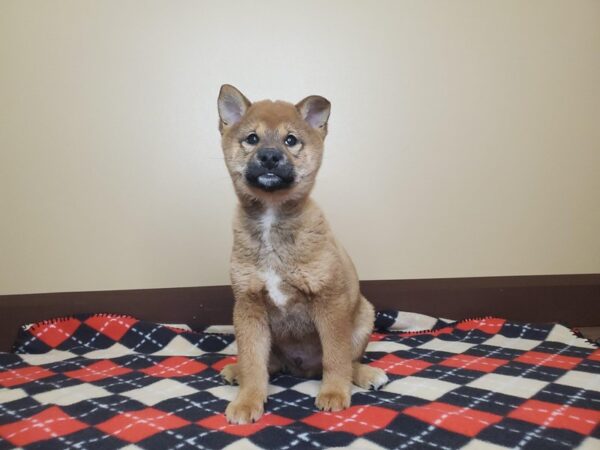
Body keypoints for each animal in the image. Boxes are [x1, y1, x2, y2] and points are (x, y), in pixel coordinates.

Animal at [218, 83, 386, 422]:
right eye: (252, 138)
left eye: (290, 140)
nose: (270, 156)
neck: (272, 220)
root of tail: (301, 369)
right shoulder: (248, 305)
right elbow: (254, 363)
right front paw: (248, 400)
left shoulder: (328, 300)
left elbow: (336, 359)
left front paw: (334, 394)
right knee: (267, 364)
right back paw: (236, 370)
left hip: (364, 316)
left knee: (348, 361)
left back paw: (366, 375)